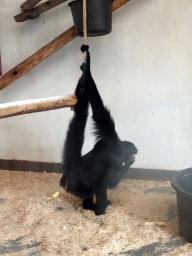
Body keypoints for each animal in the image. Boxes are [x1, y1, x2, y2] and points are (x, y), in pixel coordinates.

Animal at [60, 45, 137, 215]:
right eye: (133, 152)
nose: (134, 155)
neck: (118, 143)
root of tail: (73, 166)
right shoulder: (116, 152)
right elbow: (111, 181)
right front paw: (130, 163)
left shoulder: (105, 136)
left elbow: (97, 111)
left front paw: (86, 70)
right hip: (80, 185)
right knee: (99, 185)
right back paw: (99, 210)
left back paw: (88, 207)